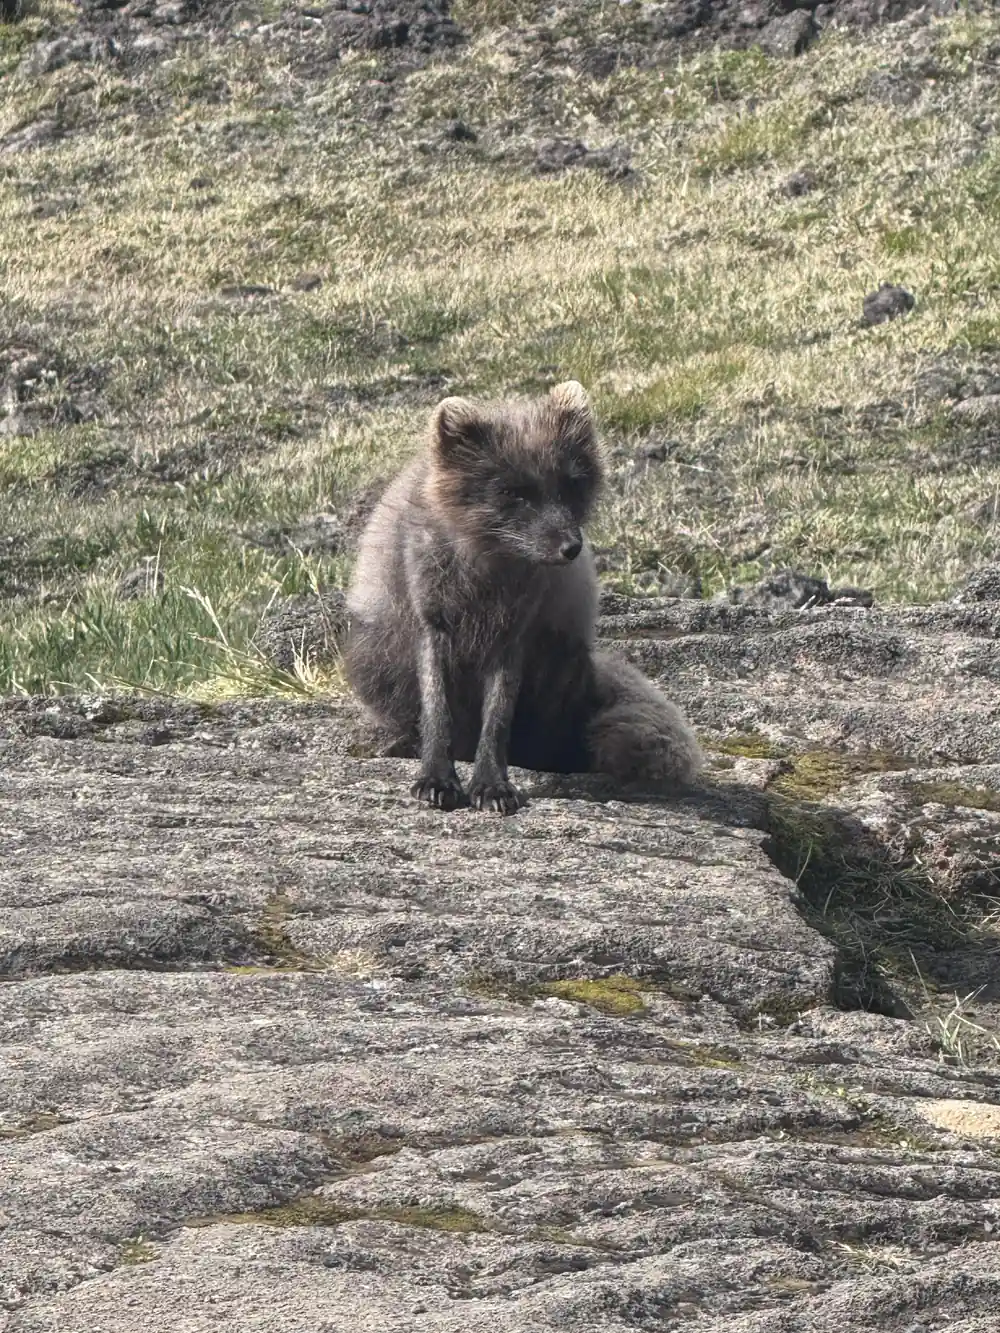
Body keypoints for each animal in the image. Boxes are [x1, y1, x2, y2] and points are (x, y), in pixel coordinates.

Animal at [345, 381, 703, 814]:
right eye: (512, 492)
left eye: (571, 483)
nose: (571, 548)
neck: (486, 573)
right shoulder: (431, 625)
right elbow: (437, 712)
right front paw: (436, 779)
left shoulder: (513, 634)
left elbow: (498, 718)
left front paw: (492, 785)